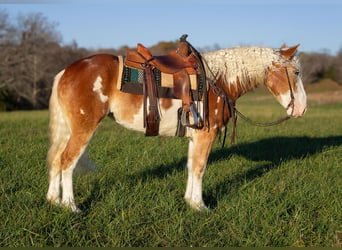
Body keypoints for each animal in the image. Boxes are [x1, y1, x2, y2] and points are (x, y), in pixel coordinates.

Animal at [46, 43, 308, 213]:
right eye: (296, 72)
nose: (303, 109)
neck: (217, 80)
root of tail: (66, 71)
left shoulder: (196, 136)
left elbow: (191, 167)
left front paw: (190, 202)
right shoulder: (206, 135)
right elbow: (200, 168)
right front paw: (201, 206)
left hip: (69, 130)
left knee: (57, 159)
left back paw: (53, 200)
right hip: (84, 129)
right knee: (68, 161)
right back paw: (71, 206)